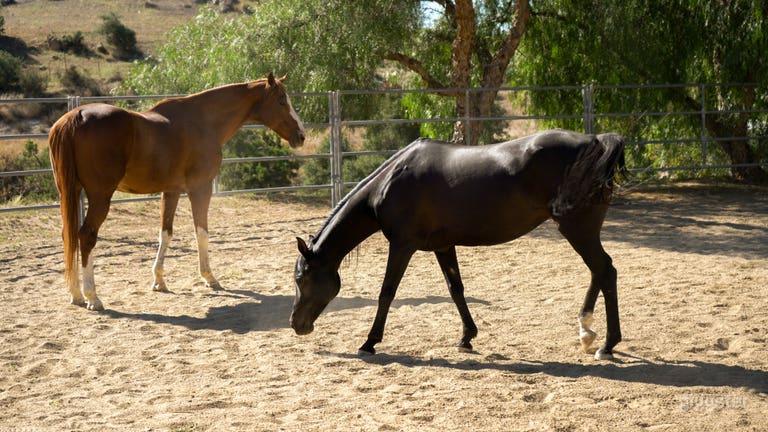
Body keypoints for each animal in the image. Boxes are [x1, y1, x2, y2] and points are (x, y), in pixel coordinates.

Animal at [49, 72, 305, 311]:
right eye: (281, 101)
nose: (301, 136)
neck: (203, 121)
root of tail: (76, 116)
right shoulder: (200, 188)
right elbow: (201, 232)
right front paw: (209, 277)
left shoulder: (171, 191)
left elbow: (165, 233)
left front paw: (159, 281)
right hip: (100, 196)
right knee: (86, 236)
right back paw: (92, 297)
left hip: (70, 192)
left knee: (68, 235)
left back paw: (76, 294)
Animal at [291, 129, 626, 360]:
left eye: (301, 278)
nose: (296, 324)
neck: (391, 181)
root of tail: (596, 142)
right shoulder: (443, 246)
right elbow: (456, 289)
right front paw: (467, 338)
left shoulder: (402, 245)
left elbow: (387, 292)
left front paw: (369, 342)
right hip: (581, 230)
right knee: (599, 272)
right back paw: (587, 331)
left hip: (577, 229)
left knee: (605, 271)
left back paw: (607, 344)